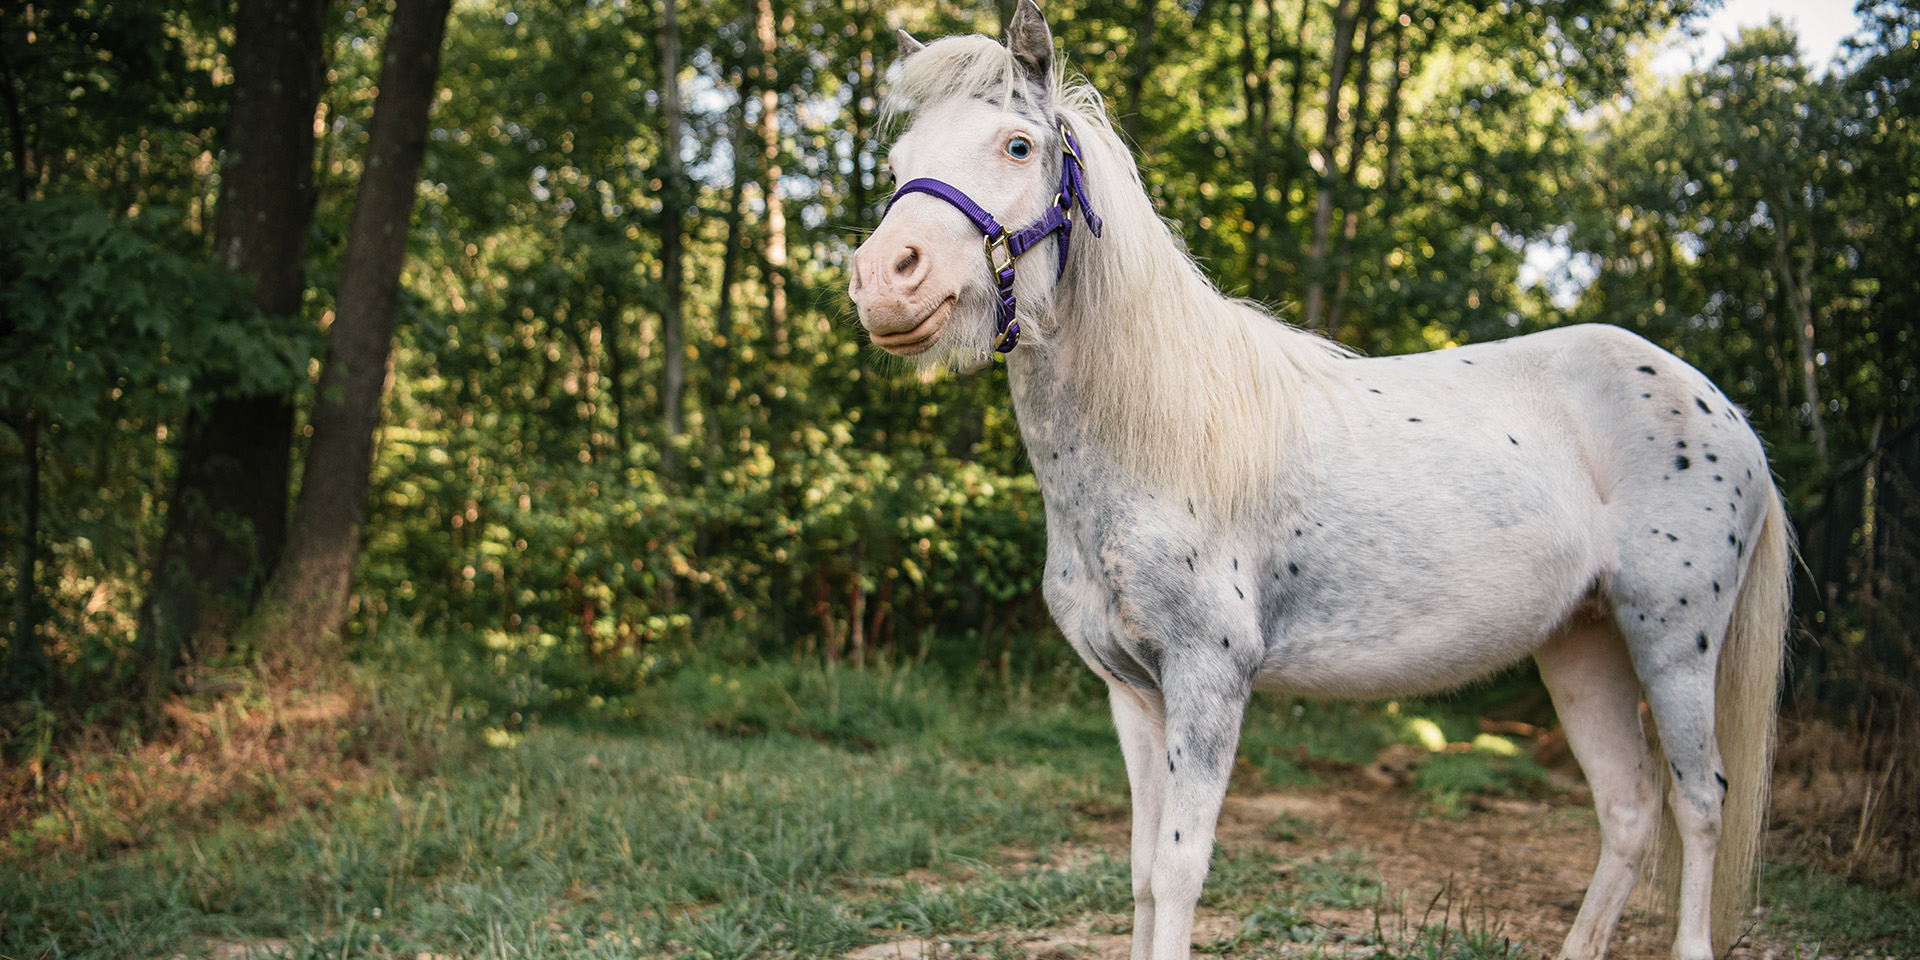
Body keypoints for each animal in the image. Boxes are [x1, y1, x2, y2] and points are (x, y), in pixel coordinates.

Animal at [848, 7, 1789, 960]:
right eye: (896, 164)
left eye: (1016, 145)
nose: (885, 279)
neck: (1154, 445)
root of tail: (1720, 408)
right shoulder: (1133, 694)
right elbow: (1143, 873)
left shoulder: (1210, 682)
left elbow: (1179, 872)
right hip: (1582, 643)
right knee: (1629, 809)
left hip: (1671, 645)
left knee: (1699, 804)